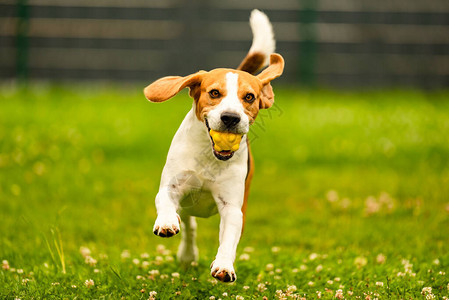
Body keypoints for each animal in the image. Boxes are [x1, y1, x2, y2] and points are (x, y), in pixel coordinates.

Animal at [144, 9, 284, 282]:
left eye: (249, 97)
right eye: (215, 93)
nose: (230, 117)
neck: (210, 157)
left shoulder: (232, 208)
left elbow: (228, 240)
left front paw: (224, 266)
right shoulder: (172, 186)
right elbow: (165, 201)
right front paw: (165, 222)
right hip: (187, 206)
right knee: (189, 226)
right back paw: (187, 253)